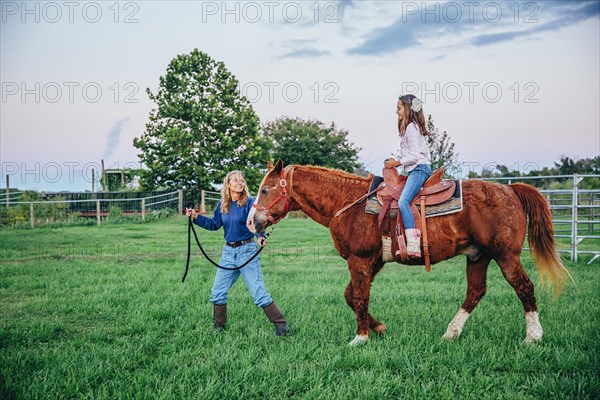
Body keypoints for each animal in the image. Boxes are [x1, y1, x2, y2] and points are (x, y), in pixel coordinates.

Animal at [246, 161, 568, 346]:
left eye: (265, 190)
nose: (251, 222)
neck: (350, 202)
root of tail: (511, 191)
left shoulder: (360, 260)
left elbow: (359, 297)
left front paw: (360, 338)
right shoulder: (372, 261)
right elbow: (351, 296)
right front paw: (378, 328)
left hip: (506, 256)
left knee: (524, 287)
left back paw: (532, 336)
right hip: (478, 256)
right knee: (475, 292)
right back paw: (450, 334)